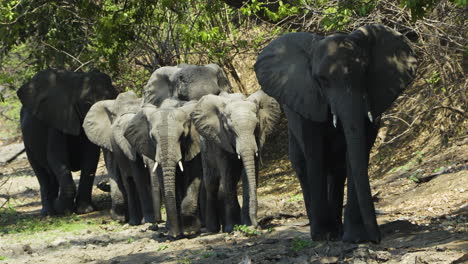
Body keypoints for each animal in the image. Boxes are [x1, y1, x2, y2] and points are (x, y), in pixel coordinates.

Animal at [18, 68, 118, 214]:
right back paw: (49, 212)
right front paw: (64, 210)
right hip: (27, 142)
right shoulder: (57, 119)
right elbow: (56, 157)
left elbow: (90, 158)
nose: (103, 184)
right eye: (87, 103)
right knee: (42, 173)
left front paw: (85, 210)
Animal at [124, 99, 203, 239]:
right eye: (152, 138)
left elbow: (194, 177)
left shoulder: (194, 144)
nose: (154, 225)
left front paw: (190, 232)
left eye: (183, 136)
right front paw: (175, 234)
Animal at [254, 23, 418, 242]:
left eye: (364, 73)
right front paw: (323, 235)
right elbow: (315, 154)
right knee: (303, 164)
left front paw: (356, 238)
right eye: (322, 80)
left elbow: (357, 151)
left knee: (337, 169)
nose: (377, 239)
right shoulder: (307, 99)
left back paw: (338, 230)